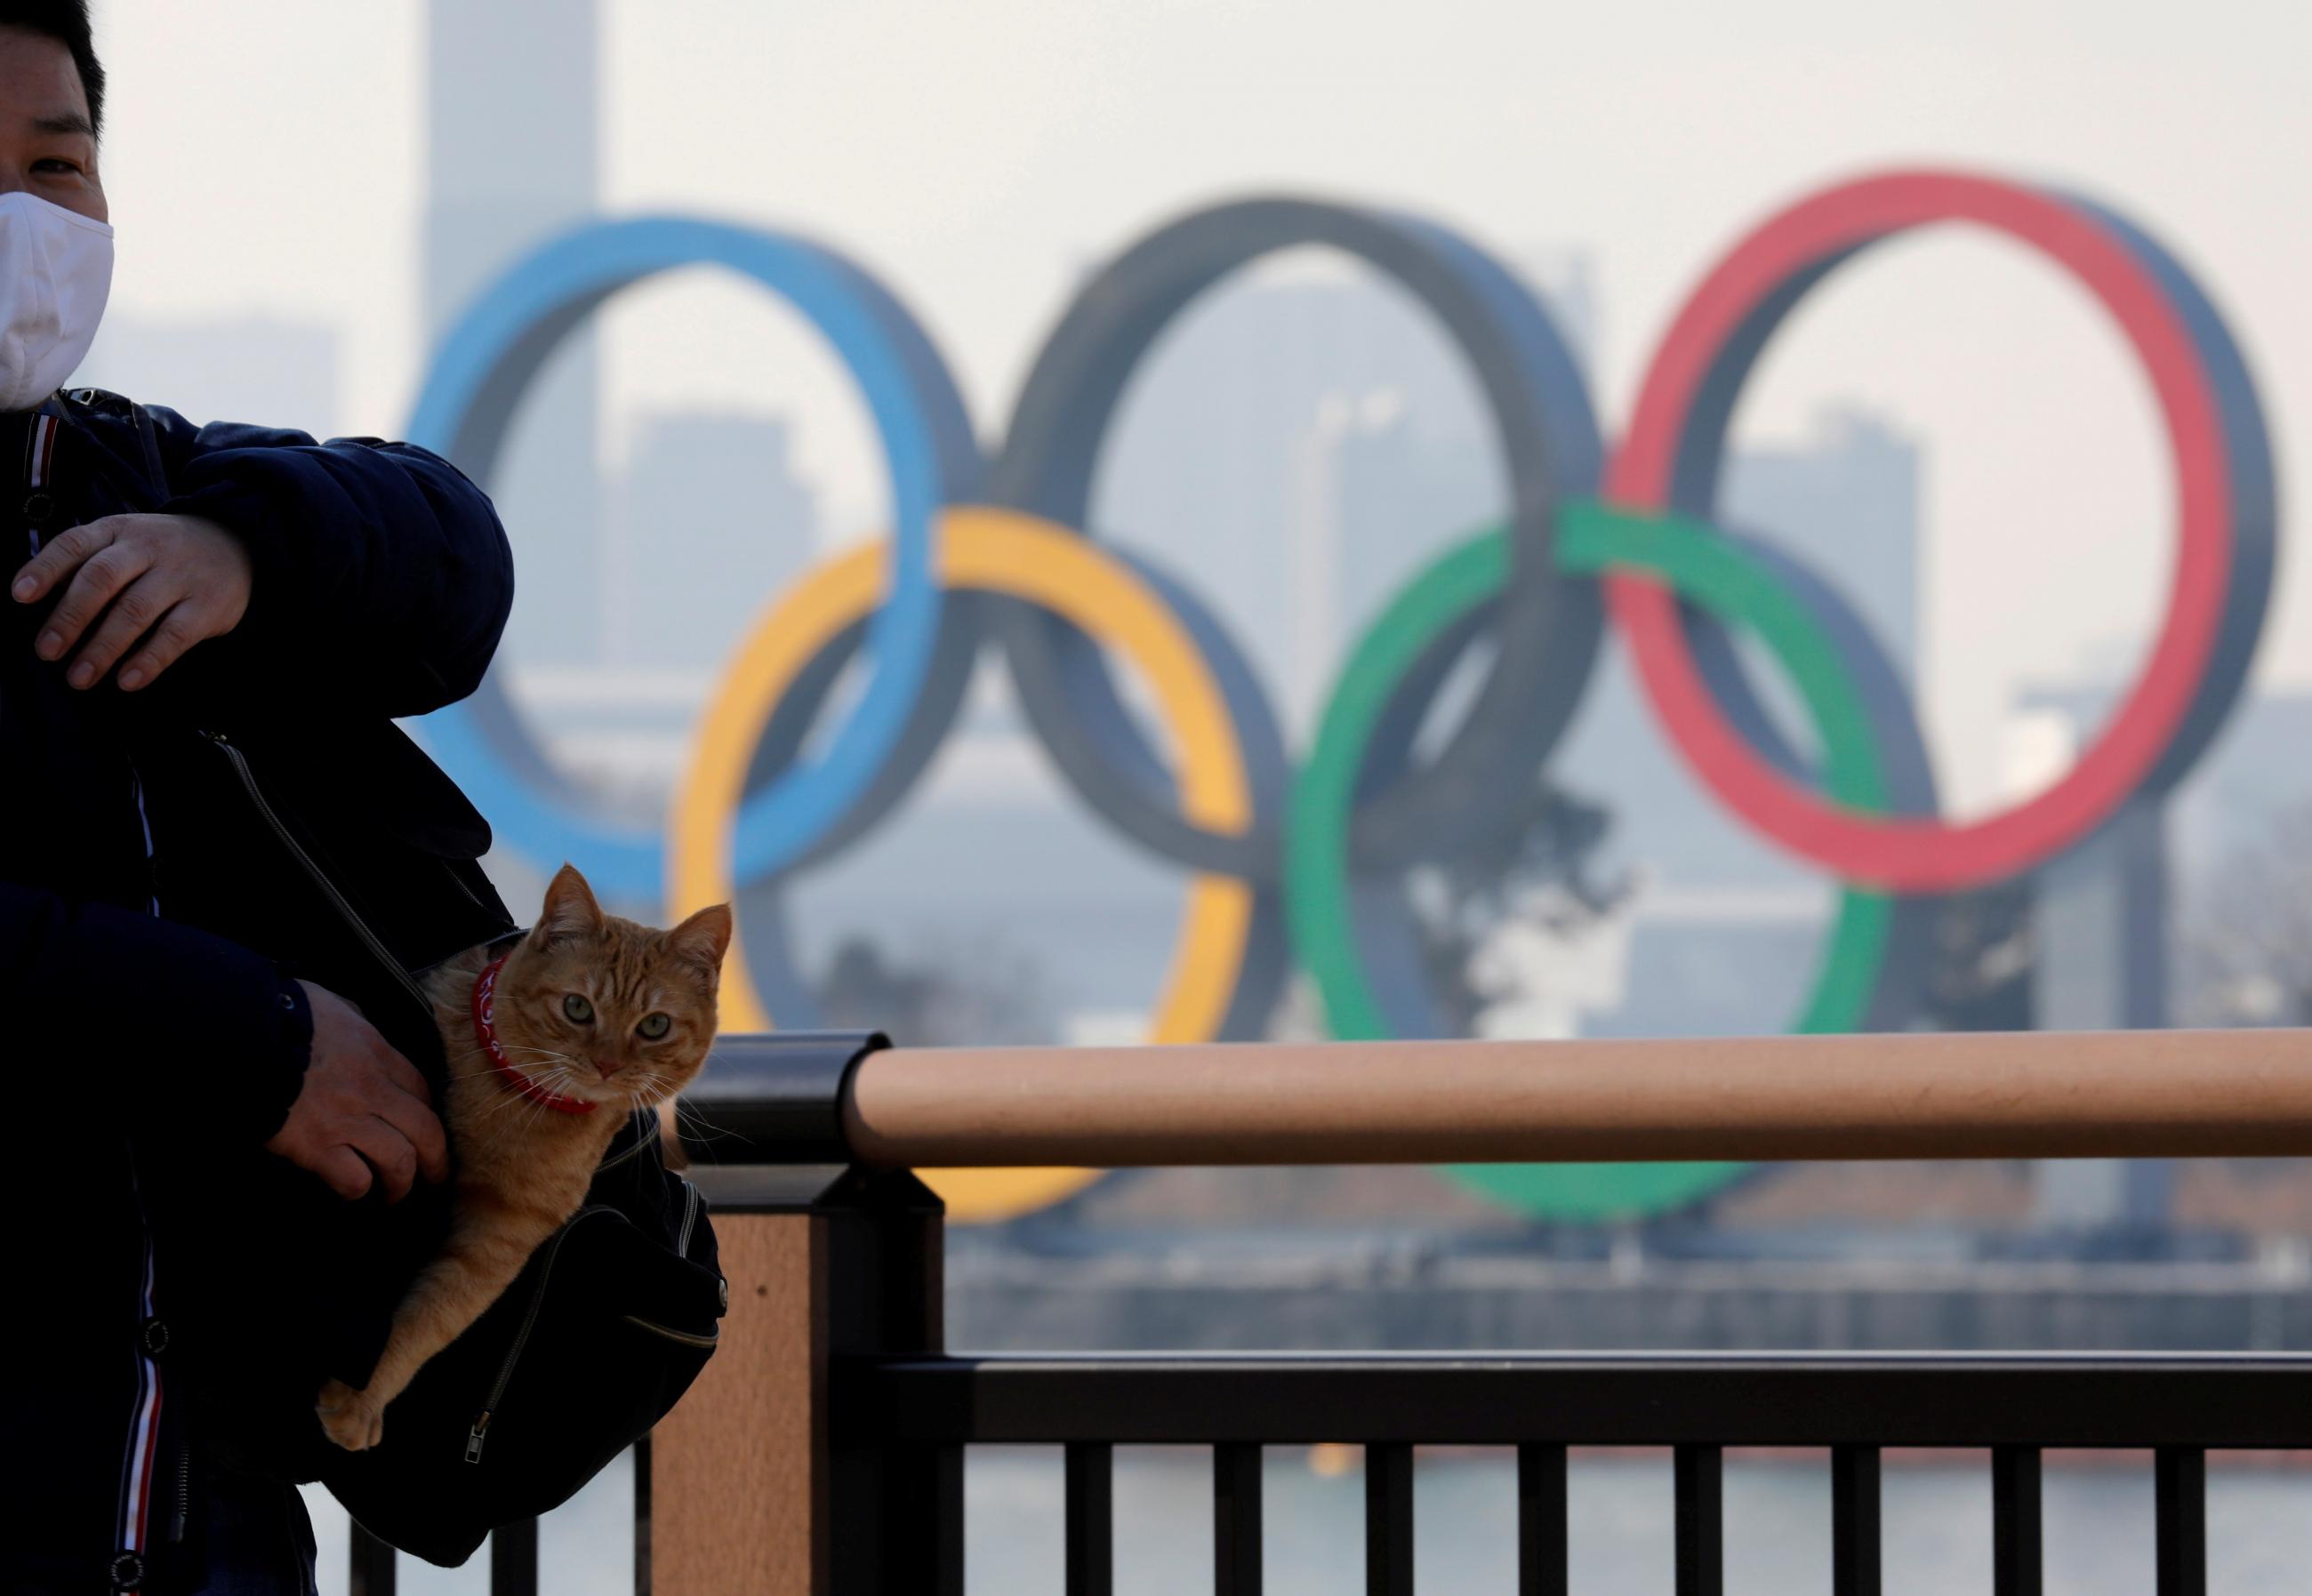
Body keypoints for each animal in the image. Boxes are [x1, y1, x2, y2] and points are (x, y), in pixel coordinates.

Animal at [317, 864, 726, 1452]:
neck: (517, 1106)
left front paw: (362, 1399)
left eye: (655, 1026)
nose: (606, 1065)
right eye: (578, 1008)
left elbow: (434, 1317)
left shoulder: (500, 1235)